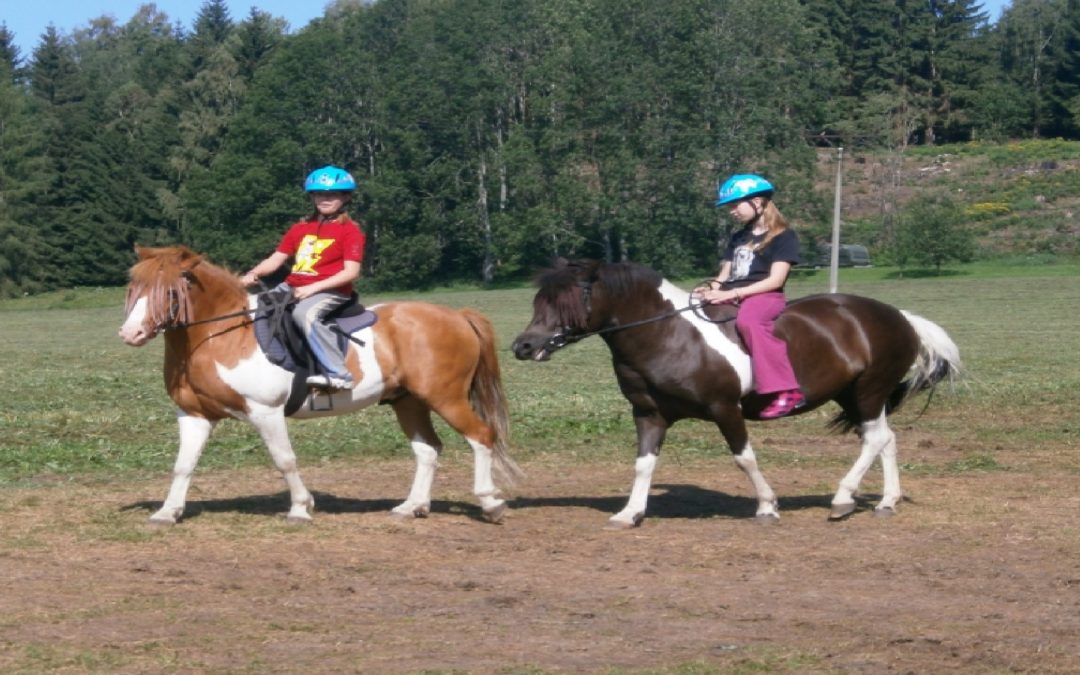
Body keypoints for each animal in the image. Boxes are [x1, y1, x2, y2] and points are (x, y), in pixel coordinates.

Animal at [118, 247, 518, 527]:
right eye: (134, 285)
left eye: (175, 288)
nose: (130, 333)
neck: (222, 335)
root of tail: (458, 316)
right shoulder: (194, 414)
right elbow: (183, 465)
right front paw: (168, 512)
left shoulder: (265, 411)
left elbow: (285, 460)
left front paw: (300, 507)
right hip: (409, 401)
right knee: (428, 450)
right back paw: (412, 506)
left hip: (446, 398)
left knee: (481, 436)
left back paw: (491, 502)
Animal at [509, 258, 959, 527]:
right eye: (539, 301)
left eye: (568, 301)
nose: (523, 347)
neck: (669, 334)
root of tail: (900, 316)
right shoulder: (649, 415)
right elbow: (643, 465)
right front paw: (630, 512)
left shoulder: (725, 408)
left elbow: (744, 459)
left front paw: (767, 506)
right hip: (855, 396)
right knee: (885, 439)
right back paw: (886, 501)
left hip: (868, 391)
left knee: (875, 440)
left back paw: (842, 498)